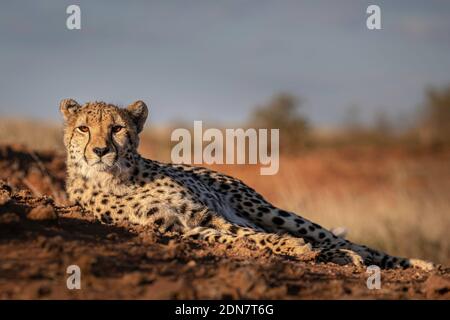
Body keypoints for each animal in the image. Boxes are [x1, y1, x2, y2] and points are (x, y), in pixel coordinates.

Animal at [59, 98, 432, 270]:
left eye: (117, 128)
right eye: (83, 128)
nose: (100, 151)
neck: (120, 177)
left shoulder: (207, 215)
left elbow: (252, 236)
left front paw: (293, 247)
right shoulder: (179, 227)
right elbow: (242, 238)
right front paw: (294, 249)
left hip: (269, 210)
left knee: (346, 242)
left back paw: (411, 263)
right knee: (333, 245)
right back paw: (338, 256)